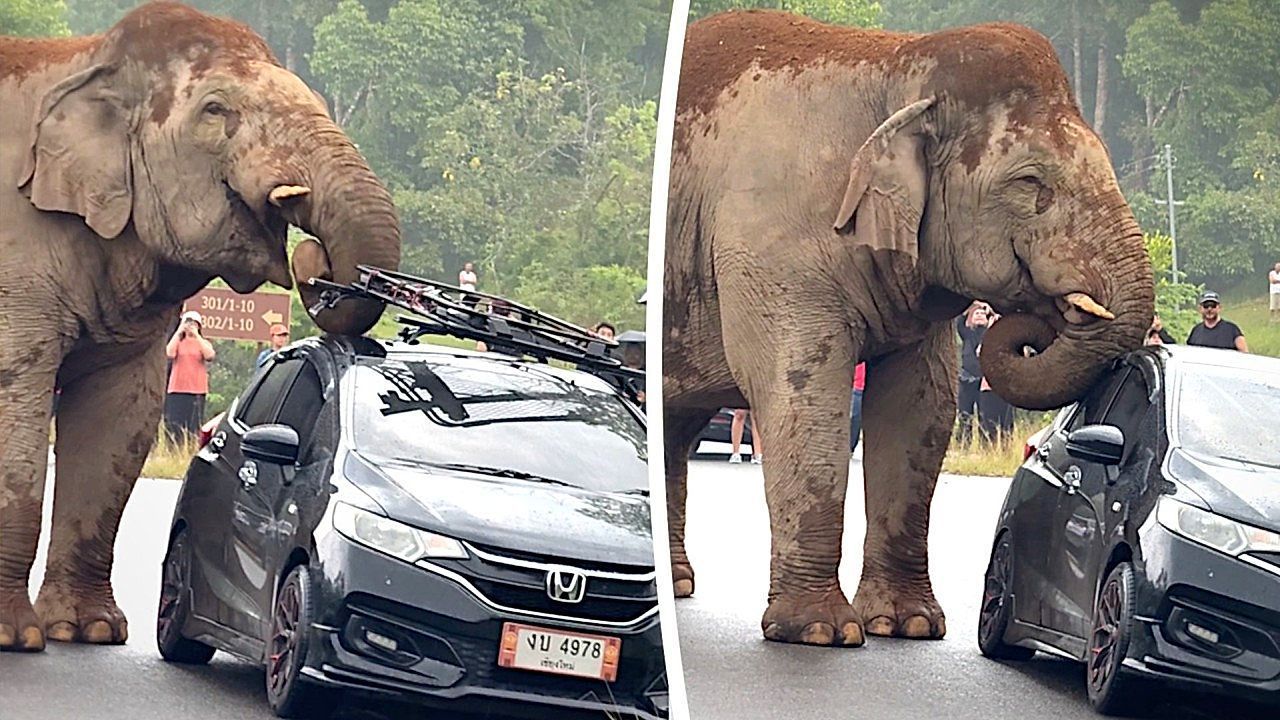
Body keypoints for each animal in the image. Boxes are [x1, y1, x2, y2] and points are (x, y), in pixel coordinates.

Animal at [0, 2, 400, 651]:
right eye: (215, 111)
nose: (312, 256)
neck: (85, 60)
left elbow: (120, 422)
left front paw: (90, 630)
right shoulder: (16, 257)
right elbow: (18, 407)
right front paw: (17, 638)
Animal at [663, 10, 1154, 647]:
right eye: (1029, 183)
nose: (1035, 320)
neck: (896, 66)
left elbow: (920, 407)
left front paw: (908, 624)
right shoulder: (769, 243)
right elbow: (802, 393)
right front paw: (820, 631)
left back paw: (675, 583)